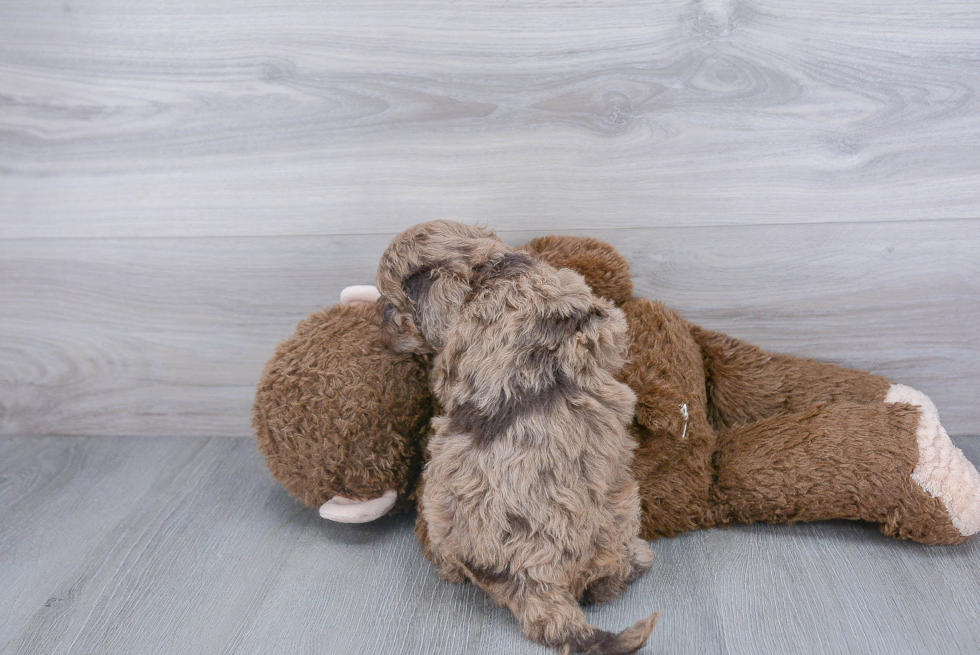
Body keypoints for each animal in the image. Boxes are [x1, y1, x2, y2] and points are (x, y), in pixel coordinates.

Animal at [376, 222, 660, 655]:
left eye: (393, 305)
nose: (378, 320)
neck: (491, 273)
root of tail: (538, 580)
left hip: (441, 509)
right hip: (621, 505)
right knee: (608, 576)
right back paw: (633, 563)